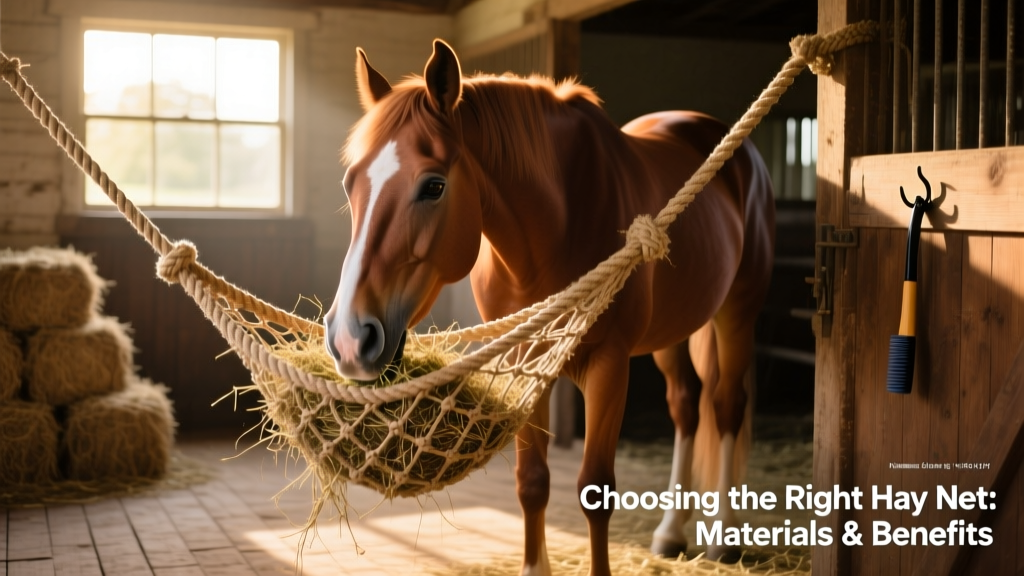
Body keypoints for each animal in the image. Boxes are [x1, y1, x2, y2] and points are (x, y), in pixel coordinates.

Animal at [324, 39, 775, 576]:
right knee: (687, 408)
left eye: (433, 185)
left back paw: (724, 535)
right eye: (350, 184)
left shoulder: (609, 364)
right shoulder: (525, 359)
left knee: (727, 406)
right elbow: (532, 480)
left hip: (738, 312)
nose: (350, 338)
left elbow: (595, 489)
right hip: (675, 329)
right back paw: (671, 531)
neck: (559, 224)